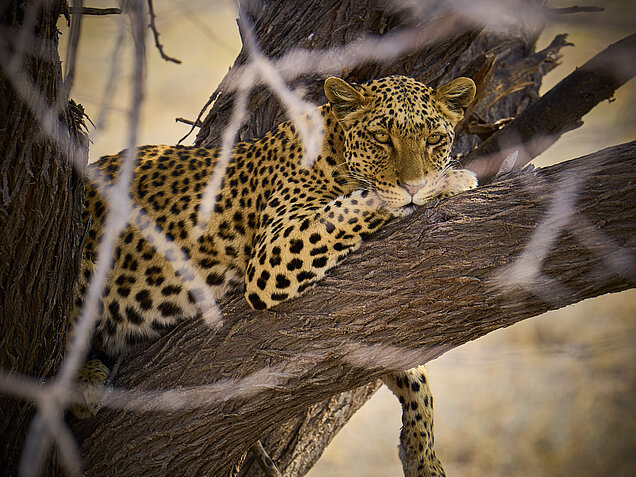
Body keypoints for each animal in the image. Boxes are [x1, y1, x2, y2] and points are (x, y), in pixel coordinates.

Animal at [73, 74, 477, 477]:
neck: (334, 147)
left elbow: (414, 373)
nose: (415, 185)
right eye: (381, 137)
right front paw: (452, 180)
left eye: (434, 139)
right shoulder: (276, 249)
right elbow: (362, 200)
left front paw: (424, 458)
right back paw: (85, 383)